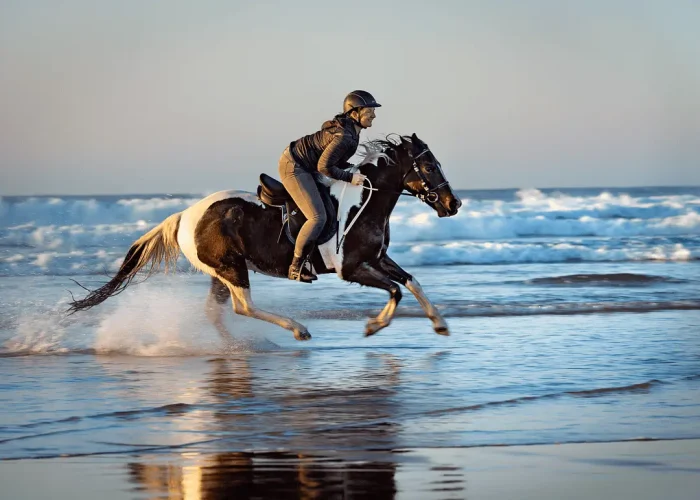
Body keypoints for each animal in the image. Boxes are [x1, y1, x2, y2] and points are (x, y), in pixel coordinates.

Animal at [68, 133, 462, 341]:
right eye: (429, 166)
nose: (453, 204)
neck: (366, 199)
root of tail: (184, 216)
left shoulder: (377, 258)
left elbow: (410, 282)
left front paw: (440, 323)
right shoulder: (352, 268)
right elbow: (395, 290)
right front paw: (374, 325)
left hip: (221, 272)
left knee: (217, 310)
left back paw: (233, 346)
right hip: (231, 268)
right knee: (243, 306)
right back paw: (296, 329)